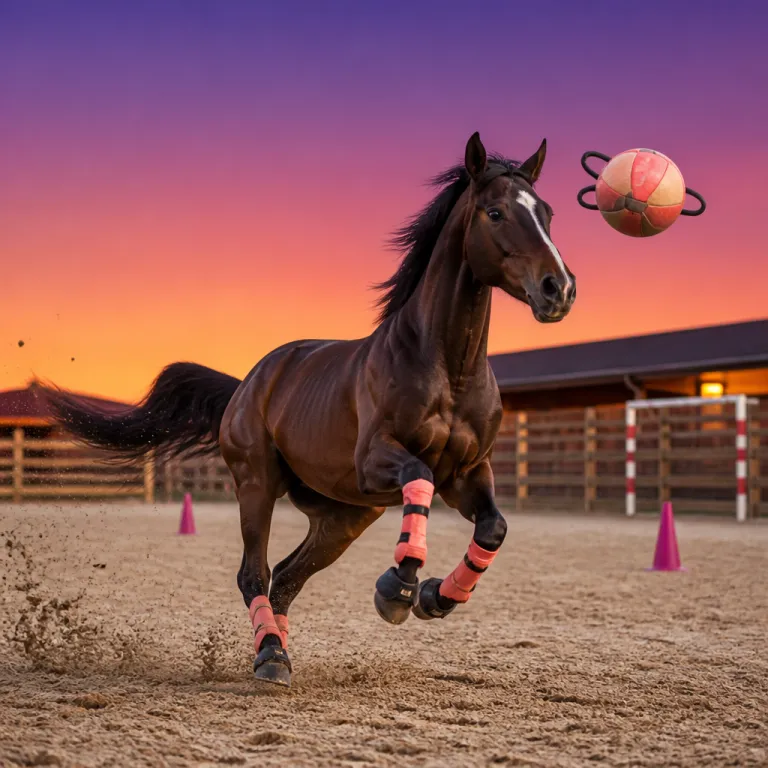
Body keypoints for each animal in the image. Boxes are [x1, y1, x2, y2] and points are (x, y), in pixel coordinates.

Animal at [44, 132, 576, 688]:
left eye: (547, 212)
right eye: (495, 212)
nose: (558, 289)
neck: (448, 367)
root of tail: (249, 382)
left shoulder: (469, 472)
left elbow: (493, 527)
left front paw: (434, 596)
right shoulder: (375, 461)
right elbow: (420, 478)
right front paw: (397, 590)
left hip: (344, 517)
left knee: (286, 577)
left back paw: (275, 651)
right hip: (257, 484)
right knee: (255, 572)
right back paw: (272, 656)